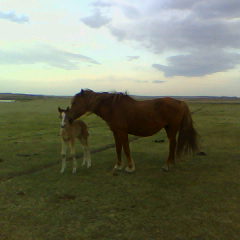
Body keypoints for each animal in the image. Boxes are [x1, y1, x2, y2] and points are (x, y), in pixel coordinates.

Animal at [66, 89, 198, 172]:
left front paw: (130, 167)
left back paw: (167, 165)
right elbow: (118, 148)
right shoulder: (116, 132)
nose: (68, 118)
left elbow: (126, 149)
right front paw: (118, 166)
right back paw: (171, 163)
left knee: (172, 144)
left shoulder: (123, 132)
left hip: (171, 128)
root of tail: (180, 102)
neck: (113, 108)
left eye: (75, 102)